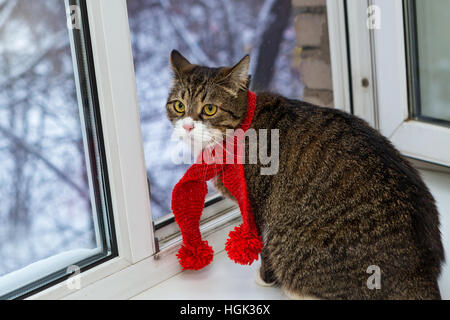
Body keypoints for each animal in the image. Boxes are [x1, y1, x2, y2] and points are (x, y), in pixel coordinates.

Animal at [164, 50, 442, 300]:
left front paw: (265, 277)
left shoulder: (257, 206)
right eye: (179, 106)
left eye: (209, 109)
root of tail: (421, 275)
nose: (187, 126)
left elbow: (262, 247)